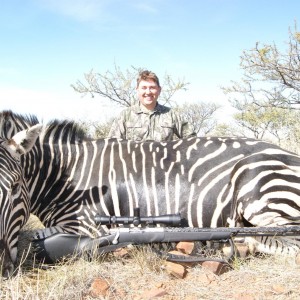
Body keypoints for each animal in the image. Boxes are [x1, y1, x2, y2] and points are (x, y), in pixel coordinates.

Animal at [1, 109, 300, 262]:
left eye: (15, 187)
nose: (4, 265)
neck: (66, 177)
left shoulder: (85, 225)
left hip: (260, 191)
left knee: (282, 242)